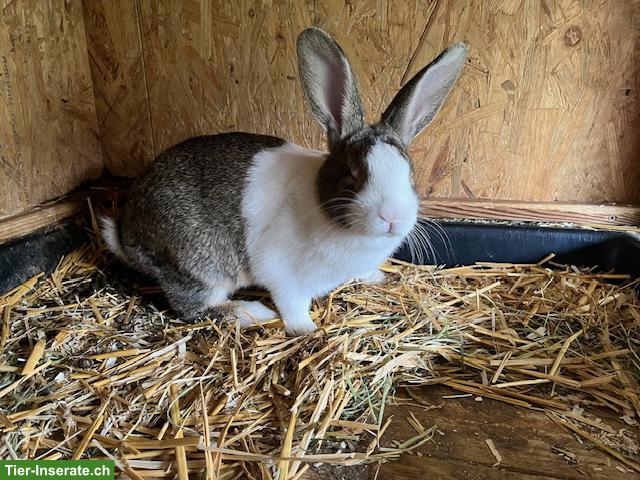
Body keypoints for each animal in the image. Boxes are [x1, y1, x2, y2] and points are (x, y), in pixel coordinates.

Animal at [100, 27, 467, 335]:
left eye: (410, 174)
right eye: (351, 173)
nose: (393, 218)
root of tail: (127, 234)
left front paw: (375, 277)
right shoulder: (284, 275)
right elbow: (292, 305)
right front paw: (308, 330)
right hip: (199, 265)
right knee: (193, 307)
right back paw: (253, 313)